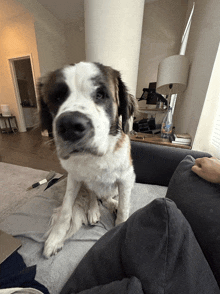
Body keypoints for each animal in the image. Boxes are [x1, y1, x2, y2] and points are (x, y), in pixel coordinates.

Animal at [38, 61, 138, 258]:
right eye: (57, 97)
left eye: (100, 95)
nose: (70, 125)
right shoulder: (74, 178)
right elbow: (66, 210)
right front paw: (55, 239)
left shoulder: (125, 178)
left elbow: (124, 208)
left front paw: (119, 226)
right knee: (94, 194)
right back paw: (93, 210)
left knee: (108, 197)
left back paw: (112, 203)